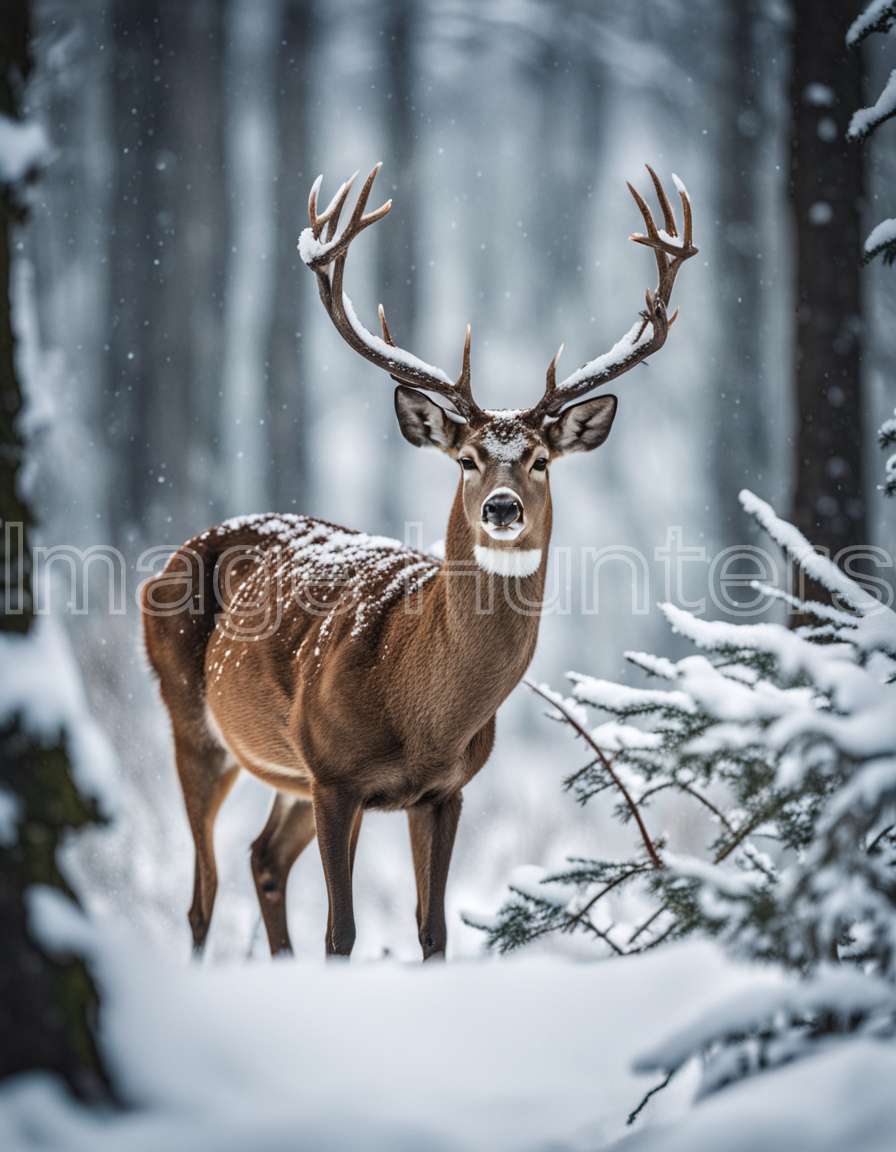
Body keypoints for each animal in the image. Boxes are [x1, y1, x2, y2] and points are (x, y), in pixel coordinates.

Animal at [141, 160, 700, 953]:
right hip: (192, 719)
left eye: (539, 459)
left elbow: (432, 929)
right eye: (467, 459)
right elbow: (341, 932)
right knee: (202, 893)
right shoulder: (335, 776)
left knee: (261, 858)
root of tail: (170, 559)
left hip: (286, 774)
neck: (420, 712)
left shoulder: (444, 790)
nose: (503, 508)